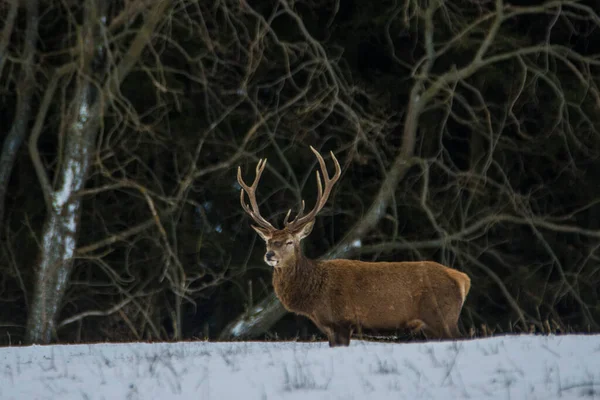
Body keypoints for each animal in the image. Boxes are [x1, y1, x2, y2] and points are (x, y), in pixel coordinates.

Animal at [237, 147, 472, 346]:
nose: (269, 255)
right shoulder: (329, 327)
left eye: (289, 241)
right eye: (267, 241)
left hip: (443, 317)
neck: (314, 297)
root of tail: (462, 279)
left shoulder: (341, 321)